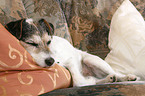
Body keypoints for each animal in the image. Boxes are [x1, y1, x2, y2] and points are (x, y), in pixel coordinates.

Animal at [5, 18, 138, 86]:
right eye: (31, 43)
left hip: (93, 60)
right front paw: (91, 81)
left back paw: (127, 77)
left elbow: (78, 80)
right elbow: (81, 81)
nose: (51, 61)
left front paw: (88, 81)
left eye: (49, 42)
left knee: (115, 72)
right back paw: (108, 79)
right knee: (104, 77)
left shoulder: (70, 61)